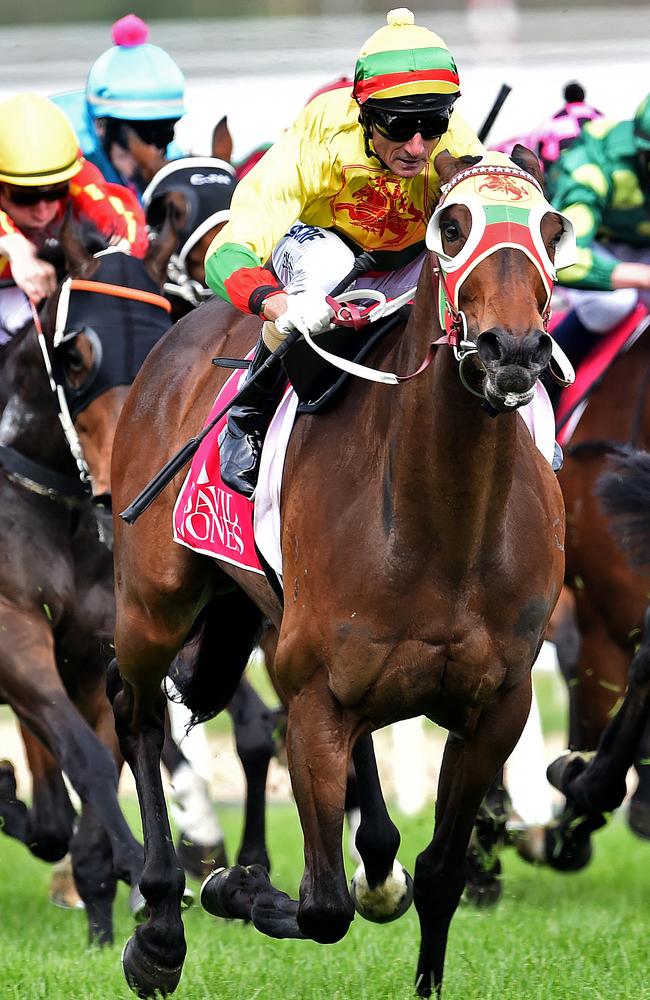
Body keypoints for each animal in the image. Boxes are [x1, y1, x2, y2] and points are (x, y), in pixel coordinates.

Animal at [107, 148, 568, 1000]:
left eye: (553, 229)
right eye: (452, 227)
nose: (512, 351)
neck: (444, 523)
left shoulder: (497, 706)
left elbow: (440, 875)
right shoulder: (315, 698)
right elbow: (321, 906)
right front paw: (234, 885)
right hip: (153, 602)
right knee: (138, 712)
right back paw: (157, 927)